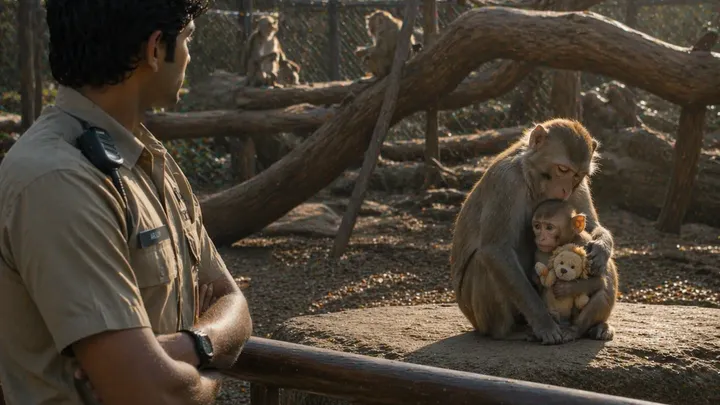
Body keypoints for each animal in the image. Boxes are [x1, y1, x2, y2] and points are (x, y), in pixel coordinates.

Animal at [449, 118, 617, 345]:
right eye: (562, 169)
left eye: (577, 175)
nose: (565, 190)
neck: (529, 176)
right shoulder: (506, 182)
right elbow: (496, 249)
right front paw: (544, 323)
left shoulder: (580, 186)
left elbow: (590, 227)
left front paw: (601, 247)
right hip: (477, 316)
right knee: (482, 262)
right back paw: (510, 332)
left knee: (607, 266)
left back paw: (589, 327)